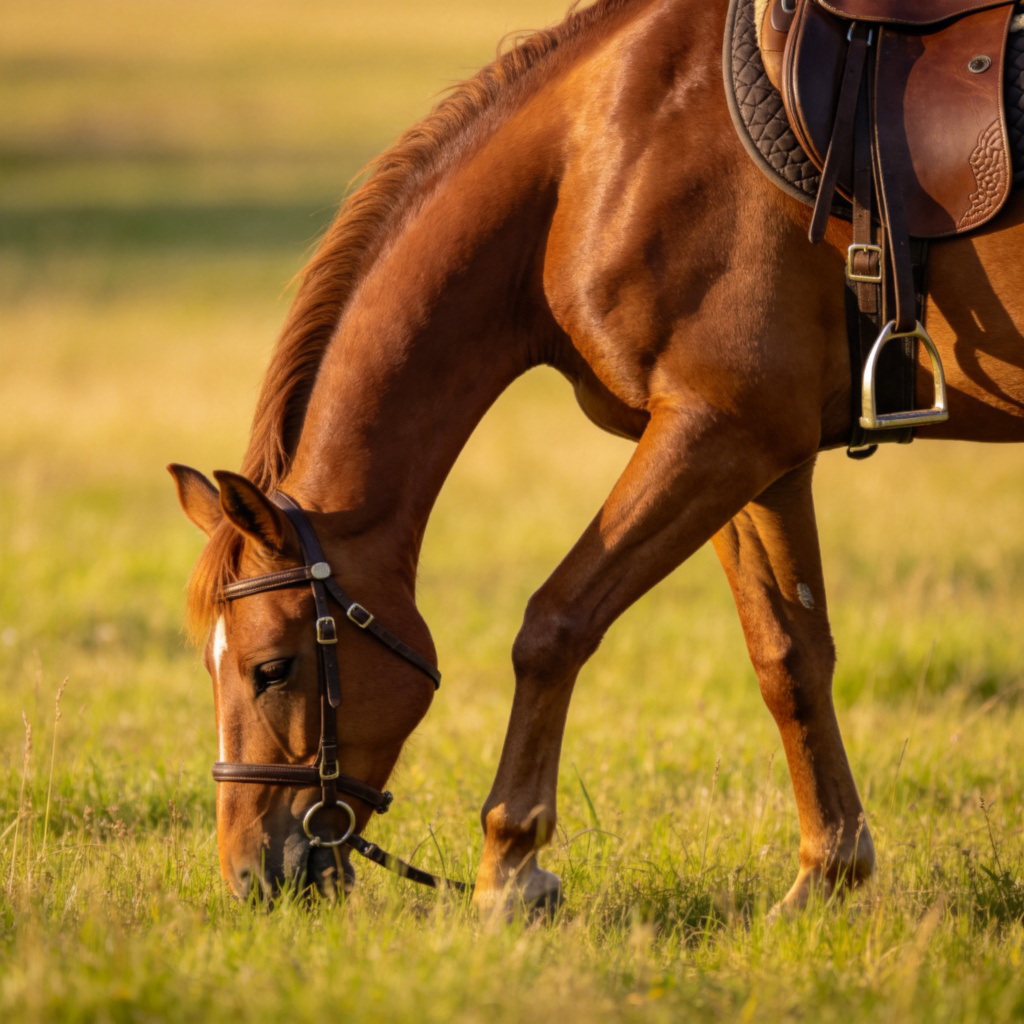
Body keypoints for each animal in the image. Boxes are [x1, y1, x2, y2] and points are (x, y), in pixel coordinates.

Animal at [169, 0, 1024, 912]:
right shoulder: (762, 453)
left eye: (271, 668)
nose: (250, 876)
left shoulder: (718, 431)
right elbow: (789, 655)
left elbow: (554, 624)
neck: (598, 159)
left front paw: (509, 868)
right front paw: (825, 876)